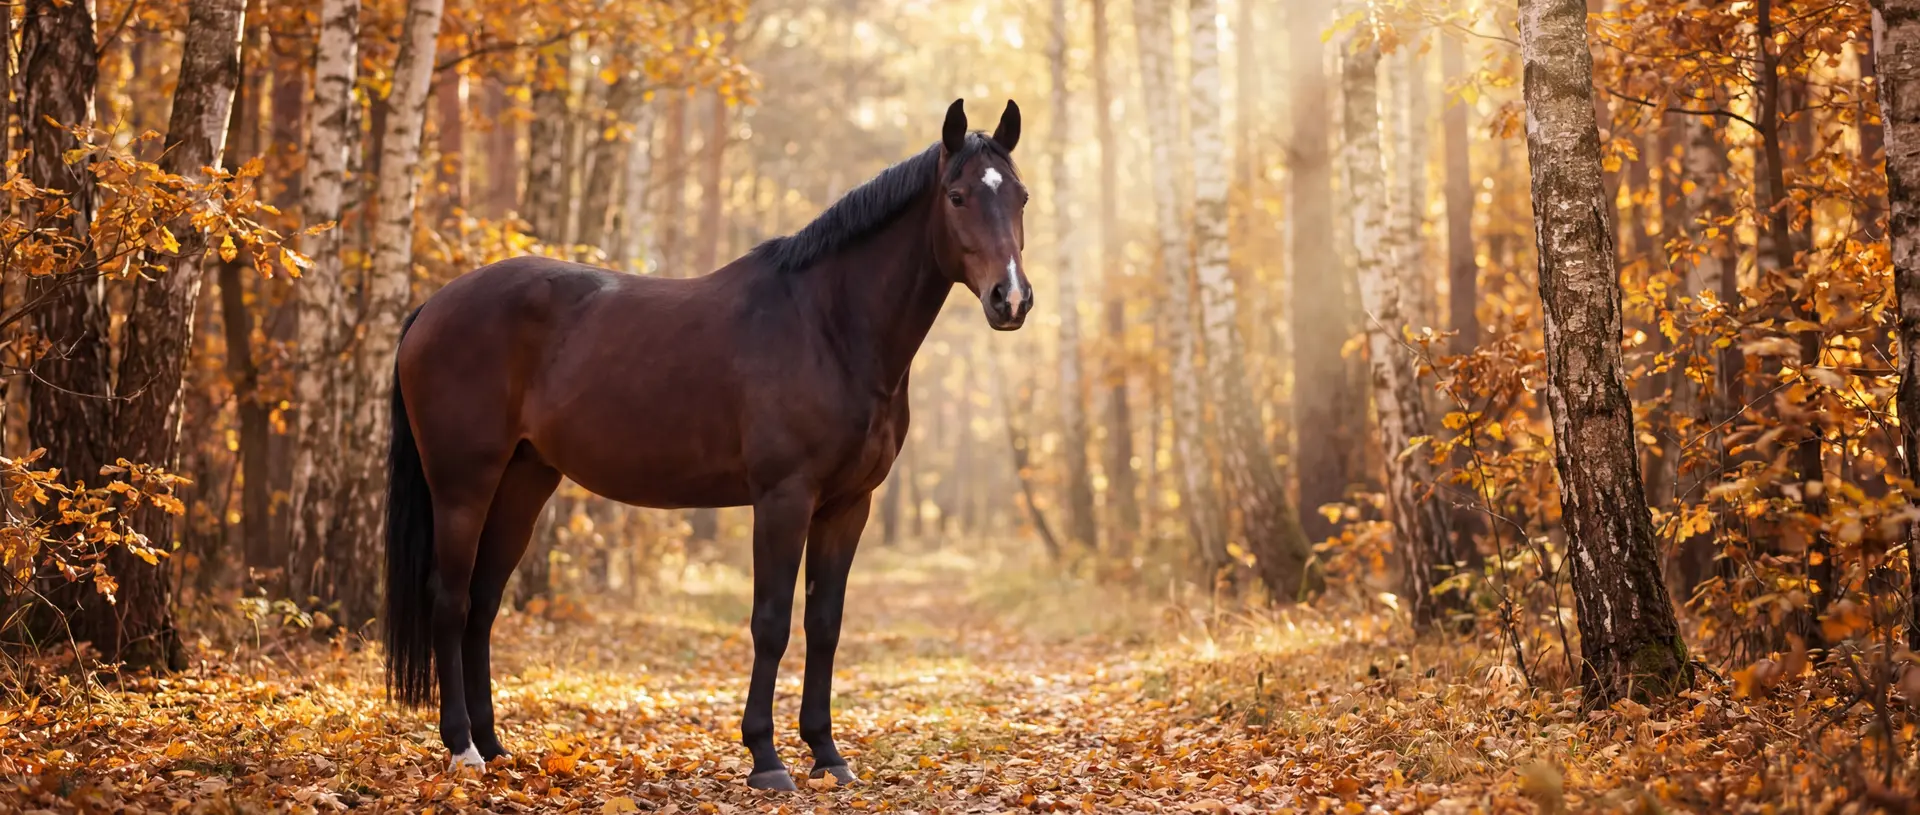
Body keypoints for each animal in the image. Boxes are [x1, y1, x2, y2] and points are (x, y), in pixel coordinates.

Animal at [381, 99, 1030, 791]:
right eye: (957, 196)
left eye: (1020, 196)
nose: (1011, 298)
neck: (829, 326)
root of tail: (433, 307)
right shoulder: (783, 498)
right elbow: (771, 623)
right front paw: (766, 759)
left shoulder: (848, 505)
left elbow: (824, 624)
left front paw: (828, 754)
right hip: (463, 485)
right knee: (449, 601)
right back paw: (462, 750)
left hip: (523, 481)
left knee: (482, 604)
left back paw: (495, 746)